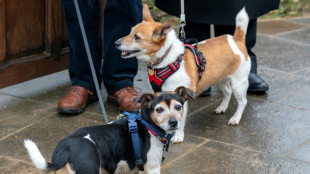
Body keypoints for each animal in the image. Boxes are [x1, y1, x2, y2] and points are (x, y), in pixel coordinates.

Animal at [24, 87, 194, 174]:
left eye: (178, 107)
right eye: (159, 109)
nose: (174, 122)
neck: (148, 125)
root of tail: (66, 146)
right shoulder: (152, 168)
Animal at [115, 4, 251, 143]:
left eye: (136, 37)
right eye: (130, 32)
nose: (116, 42)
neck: (166, 58)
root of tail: (236, 40)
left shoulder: (181, 99)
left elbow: (179, 120)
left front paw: (178, 136)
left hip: (239, 84)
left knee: (242, 102)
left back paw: (235, 118)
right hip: (219, 79)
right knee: (228, 92)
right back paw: (222, 108)